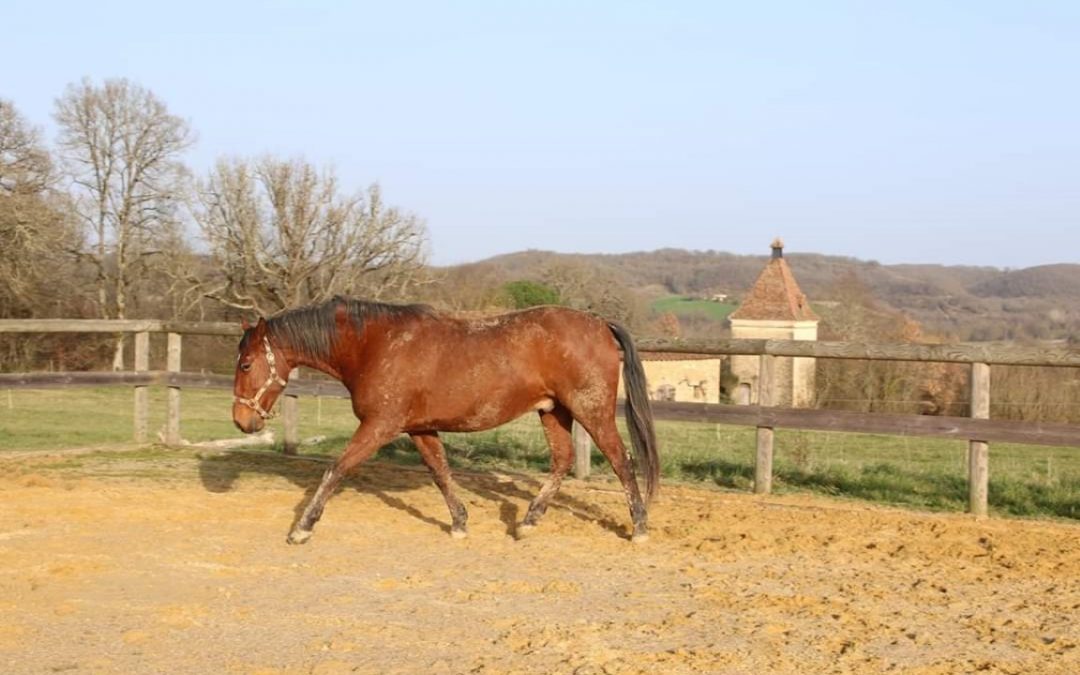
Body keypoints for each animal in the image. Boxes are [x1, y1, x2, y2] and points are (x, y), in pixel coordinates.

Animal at [230, 293, 656, 542]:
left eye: (246, 364)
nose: (241, 421)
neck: (375, 345)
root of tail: (600, 324)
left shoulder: (379, 426)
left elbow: (337, 469)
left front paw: (302, 527)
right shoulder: (420, 428)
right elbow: (440, 472)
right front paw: (460, 522)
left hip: (591, 410)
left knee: (621, 460)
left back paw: (638, 527)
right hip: (553, 411)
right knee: (563, 460)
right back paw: (527, 522)